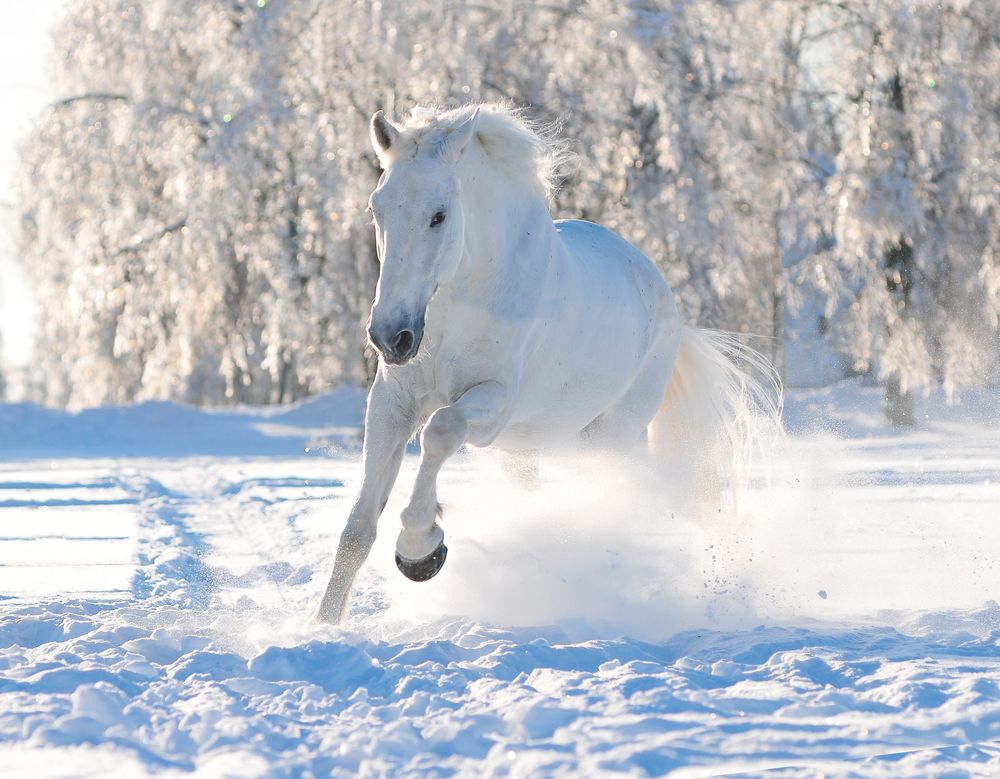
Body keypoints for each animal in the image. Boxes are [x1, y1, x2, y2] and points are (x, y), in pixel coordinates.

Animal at [316, 103, 781, 623]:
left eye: (439, 215)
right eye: (376, 208)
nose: (390, 336)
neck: (461, 301)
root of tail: (665, 298)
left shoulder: (494, 403)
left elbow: (439, 432)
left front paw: (420, 549)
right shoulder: (392, 404)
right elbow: (357, 531)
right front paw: (322, 625)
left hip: (605, 439)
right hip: (524, 451)